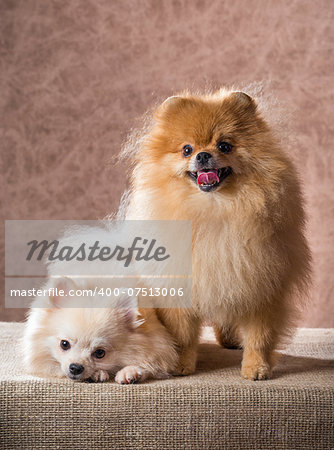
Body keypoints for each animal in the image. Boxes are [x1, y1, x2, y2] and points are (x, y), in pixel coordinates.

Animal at [122, 87, 310, 380]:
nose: (202, 155)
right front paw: (180, 365)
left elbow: (260, 335)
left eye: (224, 145)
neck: (215, 209)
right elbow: (182, 334)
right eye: (186, 149)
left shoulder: (261, 282)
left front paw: (256, 367)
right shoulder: (181, 282)